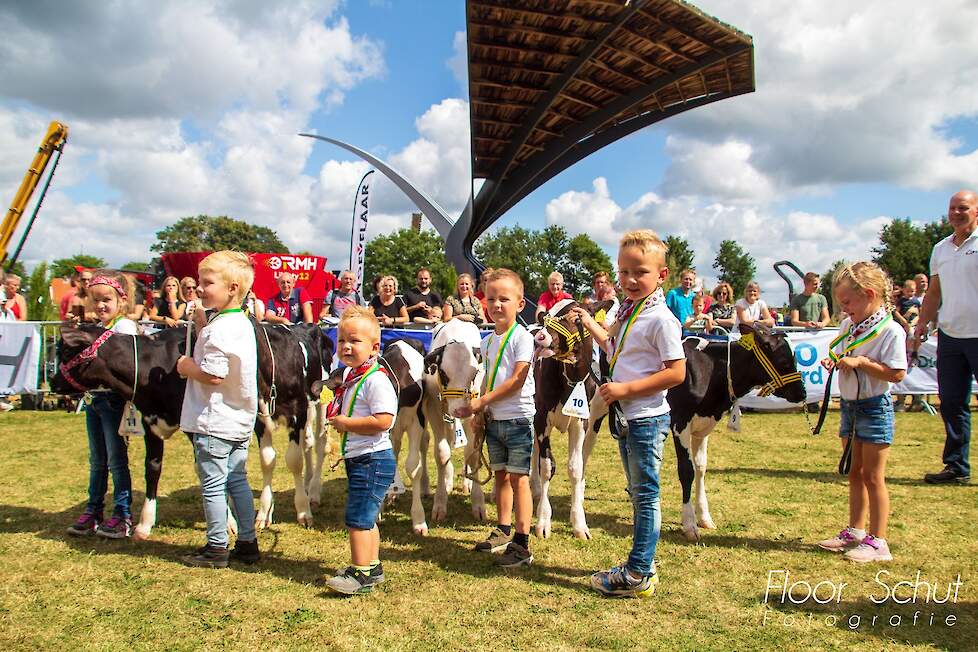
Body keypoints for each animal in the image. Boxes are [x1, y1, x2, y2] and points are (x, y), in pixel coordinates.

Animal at [584, 320, 804, 540]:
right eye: (784, 361)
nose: (801, 393)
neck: (712, 371)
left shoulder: (703, 425)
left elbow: (700, 467)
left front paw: (705, 517)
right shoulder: (680, 423)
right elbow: (686, 470)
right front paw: (690, 523)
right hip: (597, 407)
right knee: (587, 447)